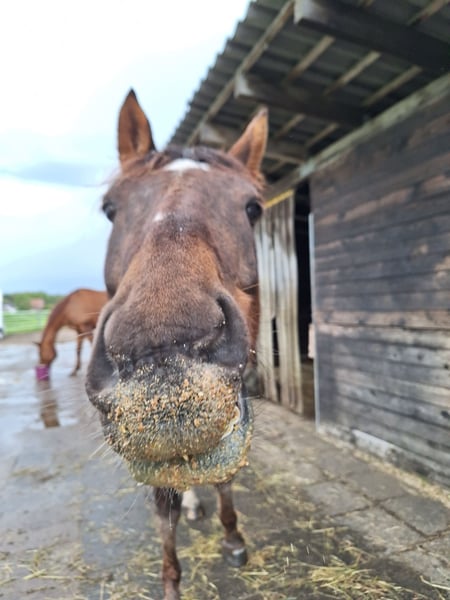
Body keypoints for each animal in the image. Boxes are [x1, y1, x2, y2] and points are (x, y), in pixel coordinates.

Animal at [85, 89, 267, 600]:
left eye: (252, 208)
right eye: (111, 208)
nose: (161, 350)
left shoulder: (233, 407)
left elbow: (225, 475)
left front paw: (233, 536)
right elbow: (163, 504)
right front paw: (171, 581)